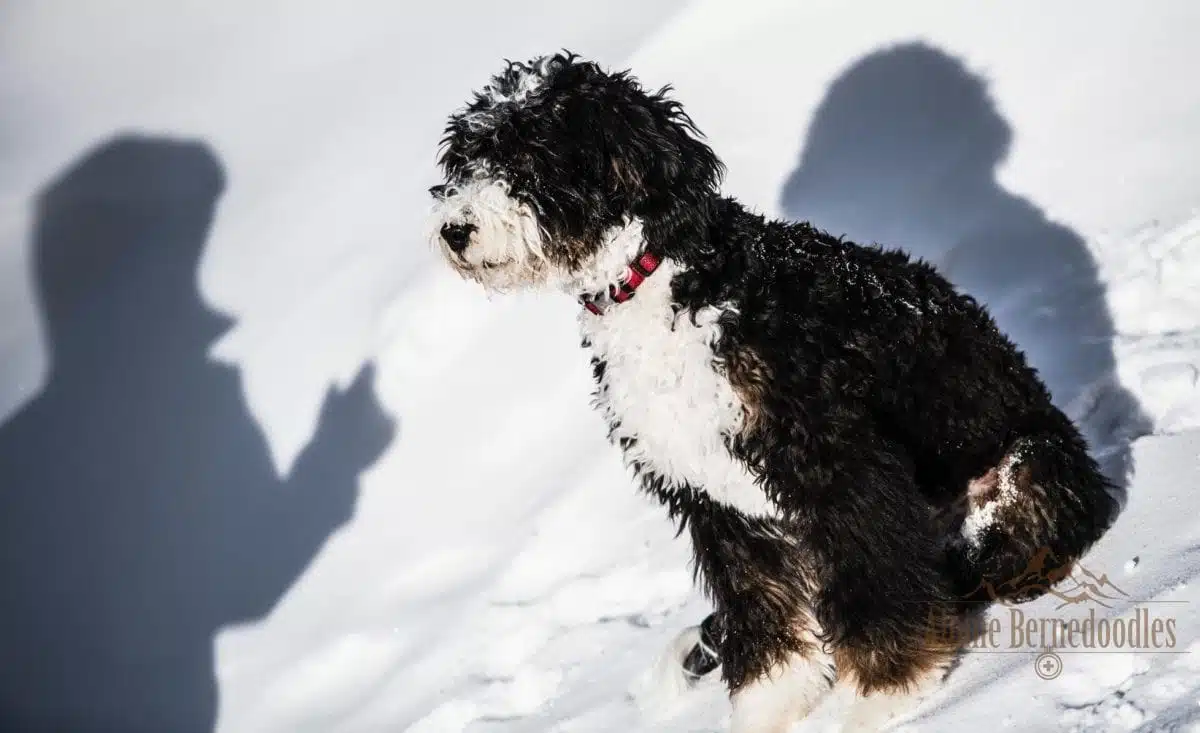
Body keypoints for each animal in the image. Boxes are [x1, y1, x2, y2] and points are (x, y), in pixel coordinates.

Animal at [429, 54, 1113, 729]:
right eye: (466, 160)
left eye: (532, 157)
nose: (454, 230)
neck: (663, 285)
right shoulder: (714, 497)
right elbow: (760, 603)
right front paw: (771, 703)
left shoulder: (835, 463)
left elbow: (873, 577)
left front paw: (886, 692)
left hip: (1029, 468)